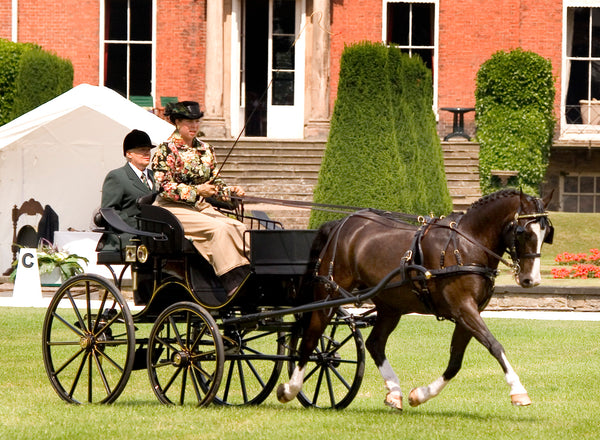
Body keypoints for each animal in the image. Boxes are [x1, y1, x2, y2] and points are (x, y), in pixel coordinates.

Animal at [276, 190, 552, 412]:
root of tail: (341, 223)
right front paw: (518, 391)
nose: (531, 279)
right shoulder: (464, 308)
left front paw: (420, 395)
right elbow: (495, 345)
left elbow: (455, 362)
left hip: (390, 306)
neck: (466, 244)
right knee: (311, 336)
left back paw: (394, 392)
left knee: (374, 344)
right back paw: (290, 388)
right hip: (329, 294)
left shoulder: (467, 314)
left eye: (545, 232)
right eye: (522, 231)